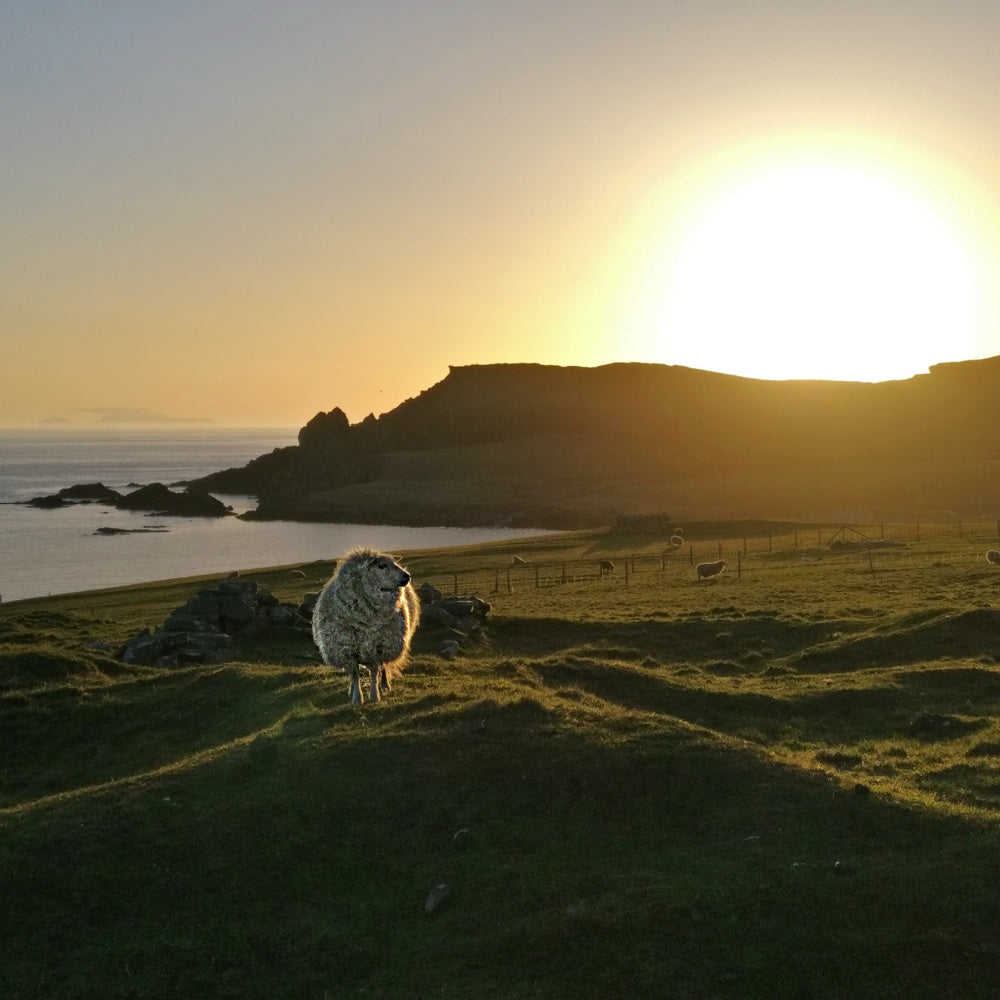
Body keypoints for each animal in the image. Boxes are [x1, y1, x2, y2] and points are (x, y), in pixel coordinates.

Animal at [312, 552, 422, 708]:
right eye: (381, 566)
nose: (407, 576)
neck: (365, 621)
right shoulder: (347, 649)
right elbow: (355, 675)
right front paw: (357, 698)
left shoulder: (377, 647)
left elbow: (375, 672)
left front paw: (374, 695)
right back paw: (351, 690)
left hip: (387, 646)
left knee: (383, 668)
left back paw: (385, 686)